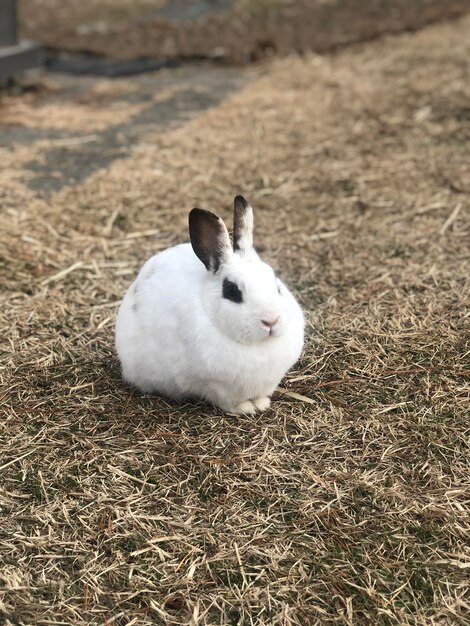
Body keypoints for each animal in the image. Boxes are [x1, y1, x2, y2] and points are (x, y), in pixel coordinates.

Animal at [115, 195, 302, 414]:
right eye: (232, 292)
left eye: (276, 286)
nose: (271, 321)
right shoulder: (216, 386)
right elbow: (227, 401)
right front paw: (246, 408)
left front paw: (262, 403)